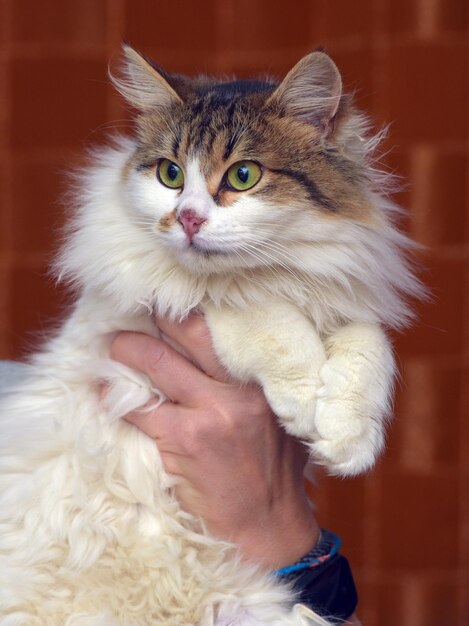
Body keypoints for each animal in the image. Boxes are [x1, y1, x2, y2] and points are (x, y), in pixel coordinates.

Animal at [0, 45, 422, 624]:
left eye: (243, 175)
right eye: (170, 174)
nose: (188, 220)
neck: (276, 273)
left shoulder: (340, 303)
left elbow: (368, 348)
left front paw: (347, 440)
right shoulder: (162, 304)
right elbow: (258, 312)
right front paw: (303, 400)